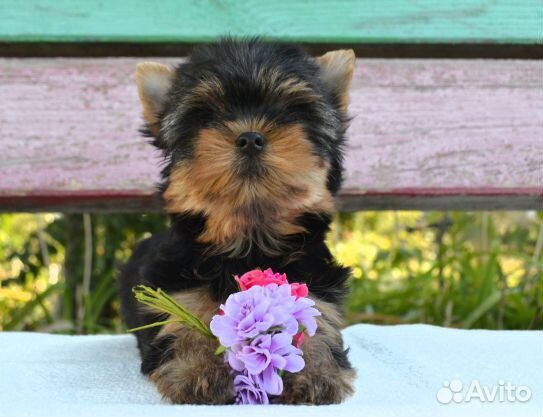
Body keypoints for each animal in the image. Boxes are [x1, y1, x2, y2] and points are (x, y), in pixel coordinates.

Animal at [119, 38, 356, 404]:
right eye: (206, 115)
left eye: (291, 111)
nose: (251, 137)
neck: (249, 236)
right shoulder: (177, 288)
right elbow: (183, 323)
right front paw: (198, 371)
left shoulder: (316, 284)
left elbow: (316, 320)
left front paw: (315, 372)